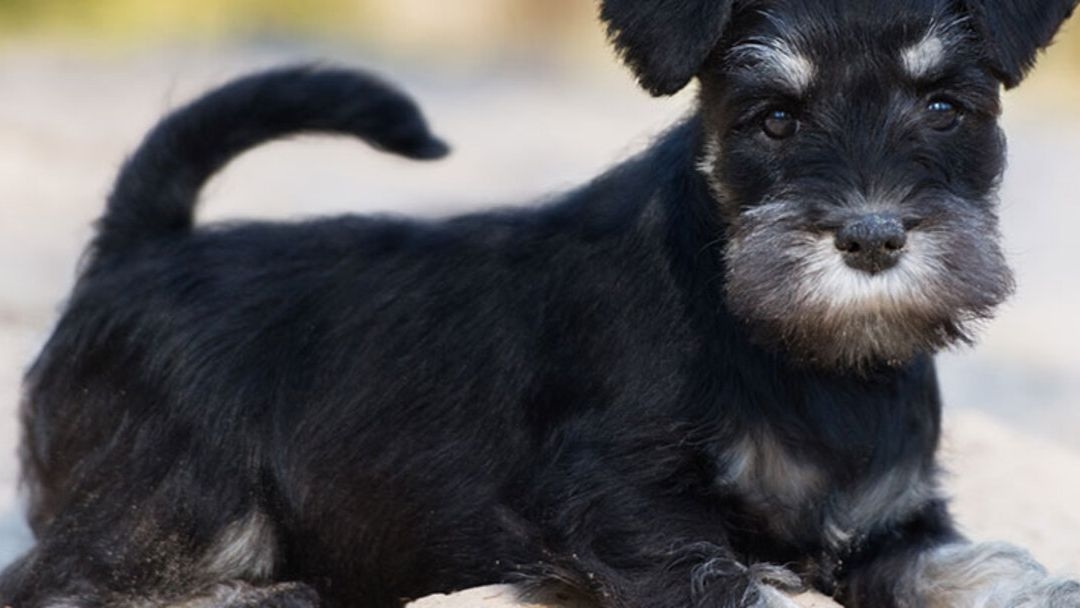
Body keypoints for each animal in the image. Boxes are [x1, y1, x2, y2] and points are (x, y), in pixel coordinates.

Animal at [2, 1, 1080, 608]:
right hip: (186, 493)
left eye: (945, 107)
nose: (871, 236)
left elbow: (977, 567)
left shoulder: (895, 519)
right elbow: (728, 580)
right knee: (70, 579)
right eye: (774, 118)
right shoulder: (617, 498)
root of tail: (140, 247)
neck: (807, 361)